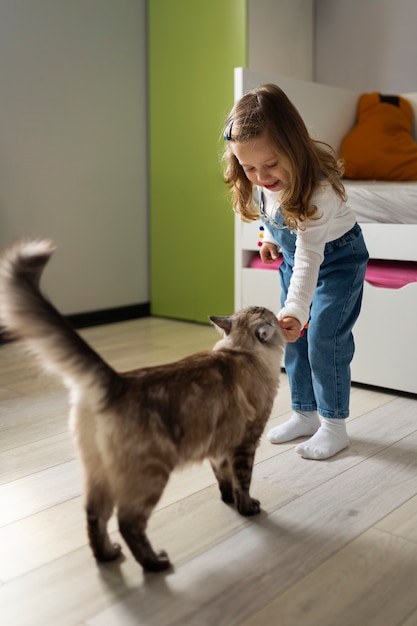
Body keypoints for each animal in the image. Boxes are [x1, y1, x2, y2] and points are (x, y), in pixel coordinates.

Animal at [0, 239, 282, 572]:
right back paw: (155, 563)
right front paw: (248, 508)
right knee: (128, 522)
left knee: (95, 516)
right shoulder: (245, 441)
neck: (242, 352)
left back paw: (109, 555)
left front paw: (228, 502)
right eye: (268, 314)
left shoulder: (219, 448)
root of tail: (116, 381)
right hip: (149, 476)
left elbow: (224, 479)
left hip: (99, 473)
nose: (274, 309)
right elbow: (243, 481)